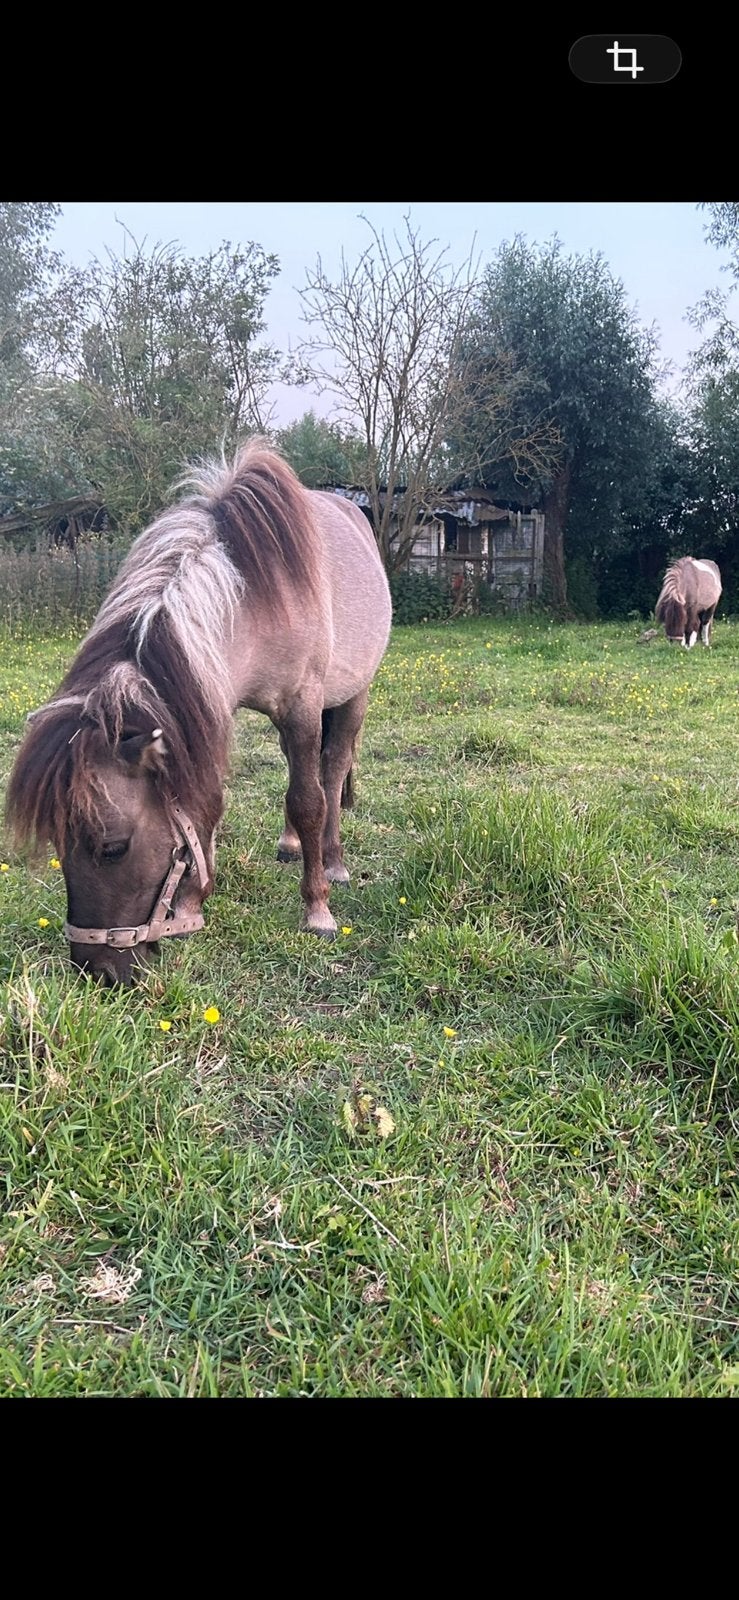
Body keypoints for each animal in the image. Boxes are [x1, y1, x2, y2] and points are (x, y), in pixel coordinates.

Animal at [4, 440, 392, 986]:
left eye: (112, 847)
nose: (97, 971)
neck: (252, 597)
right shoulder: (210, 708)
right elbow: (206, 806)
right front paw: (190, 906)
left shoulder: (302, 708)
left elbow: (309, 801)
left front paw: (317, 910)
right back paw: (291, 844)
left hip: (352, 695)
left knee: (331, 770)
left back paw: (332, 860)